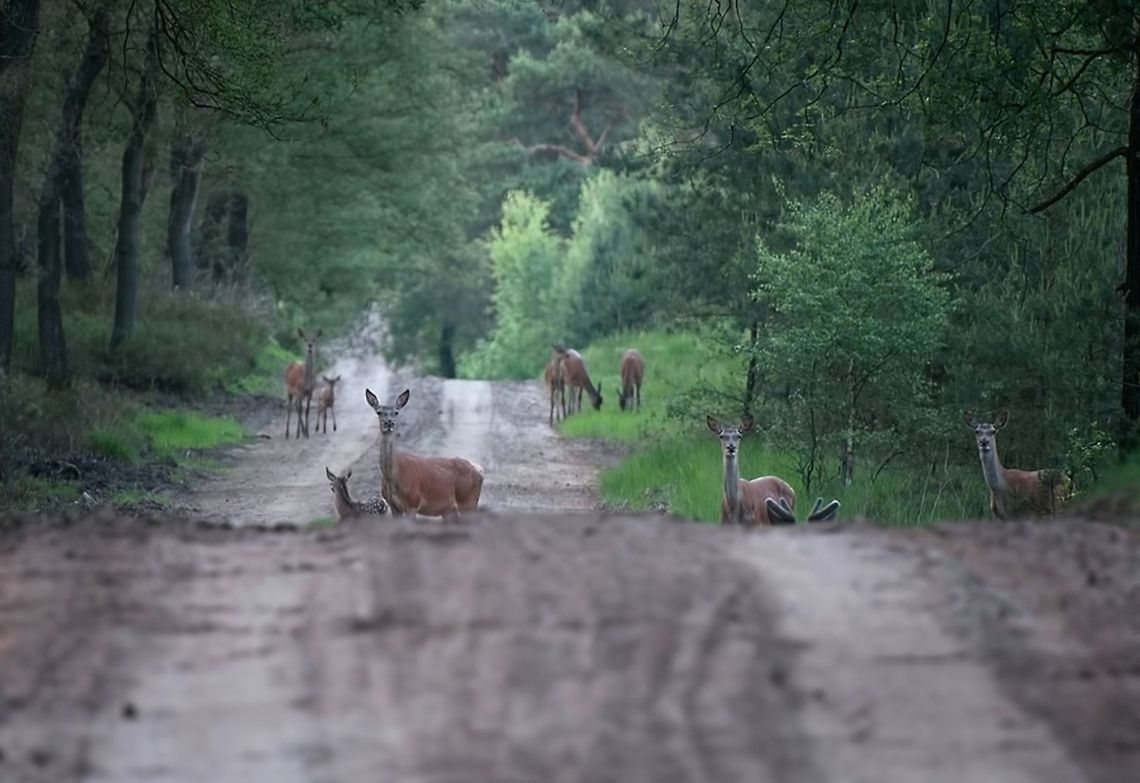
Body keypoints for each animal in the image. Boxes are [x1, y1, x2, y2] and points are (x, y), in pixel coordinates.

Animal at [364, 387, 485, 521]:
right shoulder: (393, 505)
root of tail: (480, 470)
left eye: (396, 412)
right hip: (450, 509)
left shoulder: (413, 502)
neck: (393, 477)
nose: (389, 422)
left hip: (468, 500)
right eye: (379, 412)